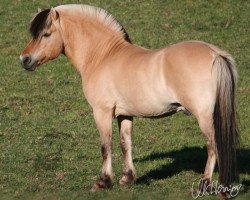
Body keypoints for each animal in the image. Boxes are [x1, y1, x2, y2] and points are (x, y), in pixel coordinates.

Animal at [19, 3, 238, 196]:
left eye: (46, 34)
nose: (24, 59)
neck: (102, 56)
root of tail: (215, 54)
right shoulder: (124, 114)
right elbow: (126, 143)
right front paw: (127, 178)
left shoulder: (102, 112)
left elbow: (106, 146)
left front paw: (103, 182)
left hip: (203, 116)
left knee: (212, 145)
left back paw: (204, 185)